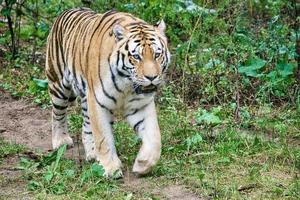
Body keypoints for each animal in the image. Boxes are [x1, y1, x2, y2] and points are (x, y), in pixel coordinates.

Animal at [45, 7, 170, 177]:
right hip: (59, 84)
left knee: (86, 124)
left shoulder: (140, 105)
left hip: (85, 98)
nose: (152, 77)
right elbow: (103, 138)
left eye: (157, 54)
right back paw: (61, 141)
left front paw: (143, 163)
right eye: (136, 56)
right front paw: (111, 168)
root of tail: (68, 10)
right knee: (57, 114)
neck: (127, 84)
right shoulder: (98, 103)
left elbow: (154, 138)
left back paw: (91, 153)